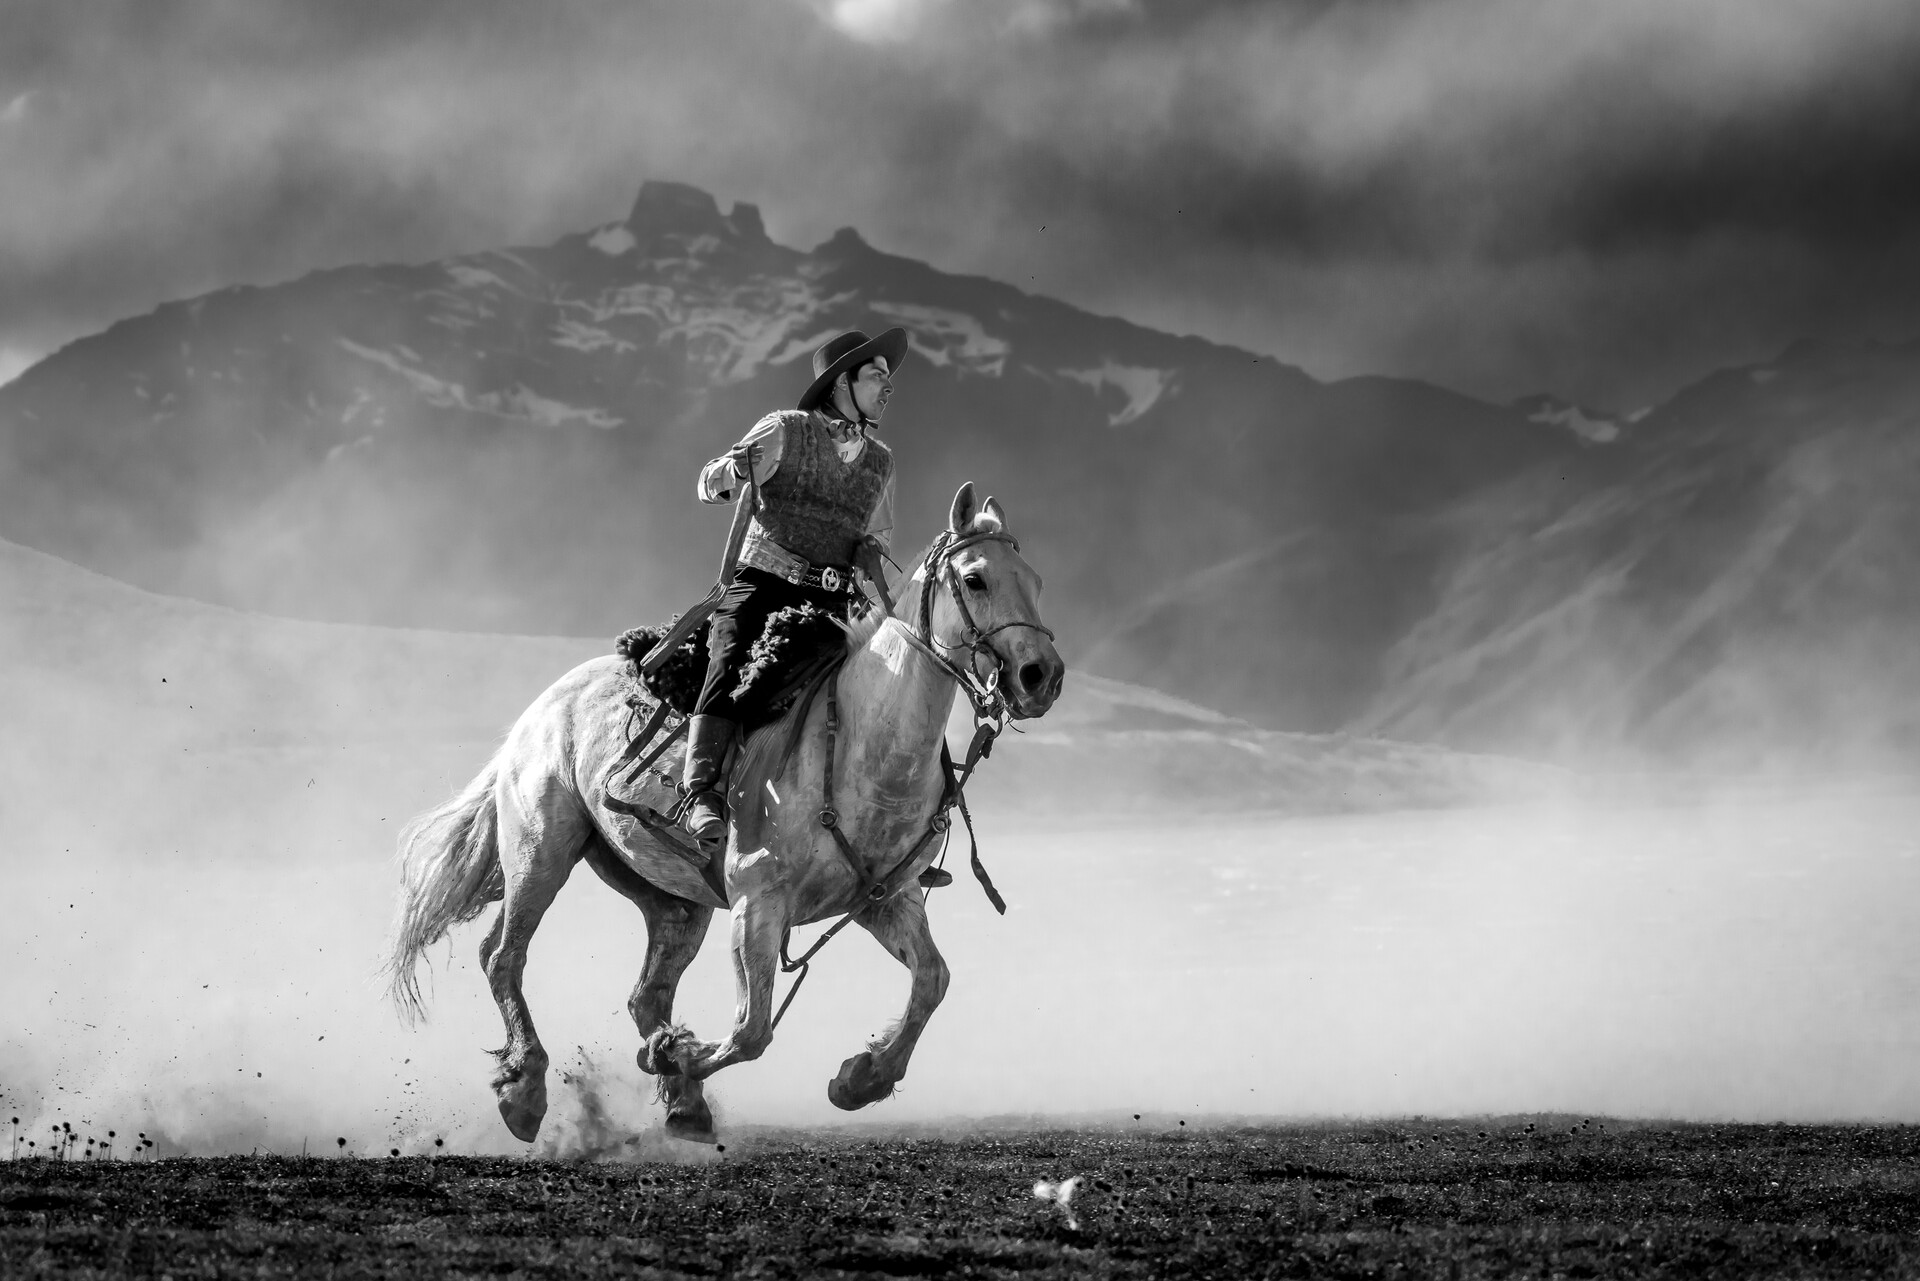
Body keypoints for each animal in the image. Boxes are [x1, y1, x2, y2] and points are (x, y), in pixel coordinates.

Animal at [382, 482, 1064, 1141]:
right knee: (504, 957)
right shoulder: (757, 904)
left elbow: (933, 980)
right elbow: (751, 1029)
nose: (1040, 676)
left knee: (645, 994)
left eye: (1035, 581)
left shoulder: (887, 900)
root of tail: (543, 709)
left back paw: (680, 1101)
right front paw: (676, 1057)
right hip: (540, 853)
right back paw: (527, 1091)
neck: (859, 746)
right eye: (975, 578)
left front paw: (862, 1077)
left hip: (674, 900)